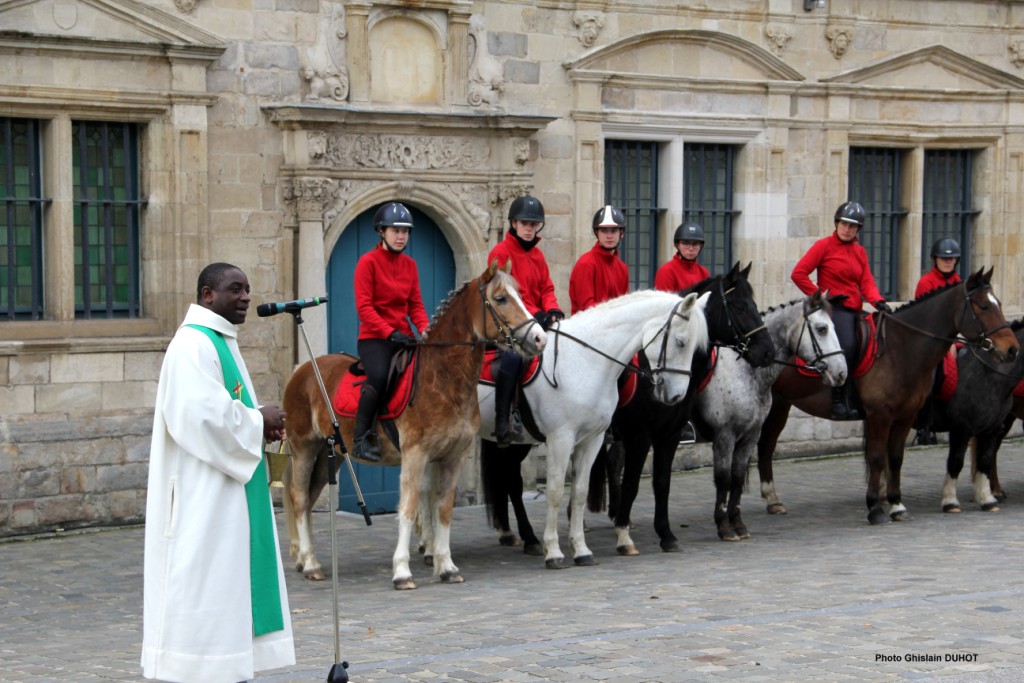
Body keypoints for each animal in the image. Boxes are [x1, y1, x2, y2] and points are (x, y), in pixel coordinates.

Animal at [280, 259, 548, 589]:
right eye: (500, 298)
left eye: (520, 295)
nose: (540, 338)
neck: (443, 378)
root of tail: (302, 369)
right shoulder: (415, 455)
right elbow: (408, 509)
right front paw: (402, 571)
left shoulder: (453, 457)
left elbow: (443, 509)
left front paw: (446, 566)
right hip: (304, 447)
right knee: (300, 498)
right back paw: (312, 563)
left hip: (329, 453)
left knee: (308, 497)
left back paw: (305, 560)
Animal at [475, 290, 708, 569]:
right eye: (681, 342)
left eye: (696, 348)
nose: (676, 396)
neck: (584, 361)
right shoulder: (563, 439)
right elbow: (556, 491)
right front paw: (554, 551)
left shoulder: (593, 440)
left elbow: (580, 492)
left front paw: (581, 550)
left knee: (510, 480)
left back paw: (526, 539)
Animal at [757, 270, 1019, 528]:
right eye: (984, 306)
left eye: (999, 303)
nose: (1012, 349)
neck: (901, 348)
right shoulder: (880, 416)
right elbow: (876, 458)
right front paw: (875, 508)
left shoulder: (905, 416)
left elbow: (895, 458)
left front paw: (896, 505)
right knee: (766, 447)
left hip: (779, 405)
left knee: (765, 446)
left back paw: (773, 501)